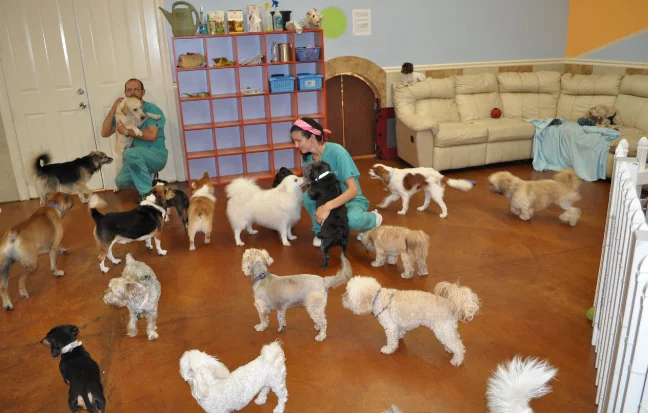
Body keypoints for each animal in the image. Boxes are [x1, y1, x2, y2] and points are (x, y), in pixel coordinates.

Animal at [342, 276, 478, 366]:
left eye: (348, 294)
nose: (342, 298)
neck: (378, 298)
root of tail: (451, 304)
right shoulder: (398, 325)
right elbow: (400, 332)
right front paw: (400, 337)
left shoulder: (390, 327)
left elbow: (391, 341)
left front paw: (388, 349)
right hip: (447, 330)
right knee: (454, 341)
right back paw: (449, 349)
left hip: (442, 330)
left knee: (459, 346)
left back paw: (457, 360)